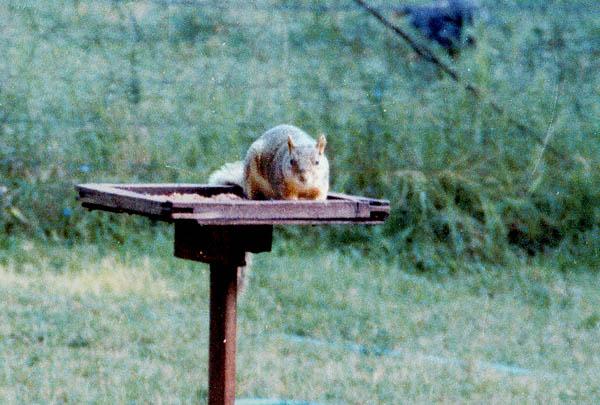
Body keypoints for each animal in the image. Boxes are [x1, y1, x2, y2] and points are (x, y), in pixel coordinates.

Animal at [209, 123, 330, 290]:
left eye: (317, 162)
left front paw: (319, 201)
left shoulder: (322, 182)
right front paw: (293, 200)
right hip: (251, 176)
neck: (302, 188)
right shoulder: (279, 182)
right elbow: (287, 196)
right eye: (291, 161)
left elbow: (321, 192)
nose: (303, 177)